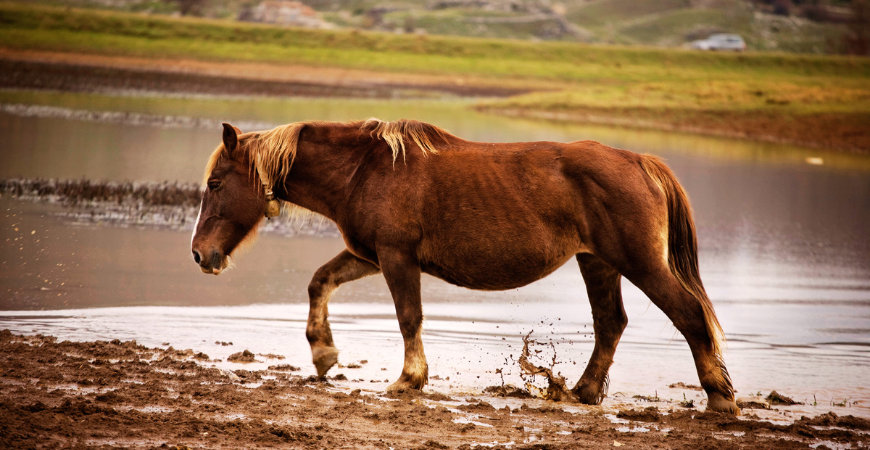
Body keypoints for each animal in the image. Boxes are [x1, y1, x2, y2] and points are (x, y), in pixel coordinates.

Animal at [190, 119, 740, 414]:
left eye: (216, 184)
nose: (199, 254)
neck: (364, 171)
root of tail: (639, 160)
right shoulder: (371, 256)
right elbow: (319, 282)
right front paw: (324, 354)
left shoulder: (397, 258)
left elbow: (408, 318)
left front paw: (408, 379)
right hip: (598, 263)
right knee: (611, 323)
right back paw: (583, 392)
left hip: (640, 263)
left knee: (688, 316)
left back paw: (720, 399)